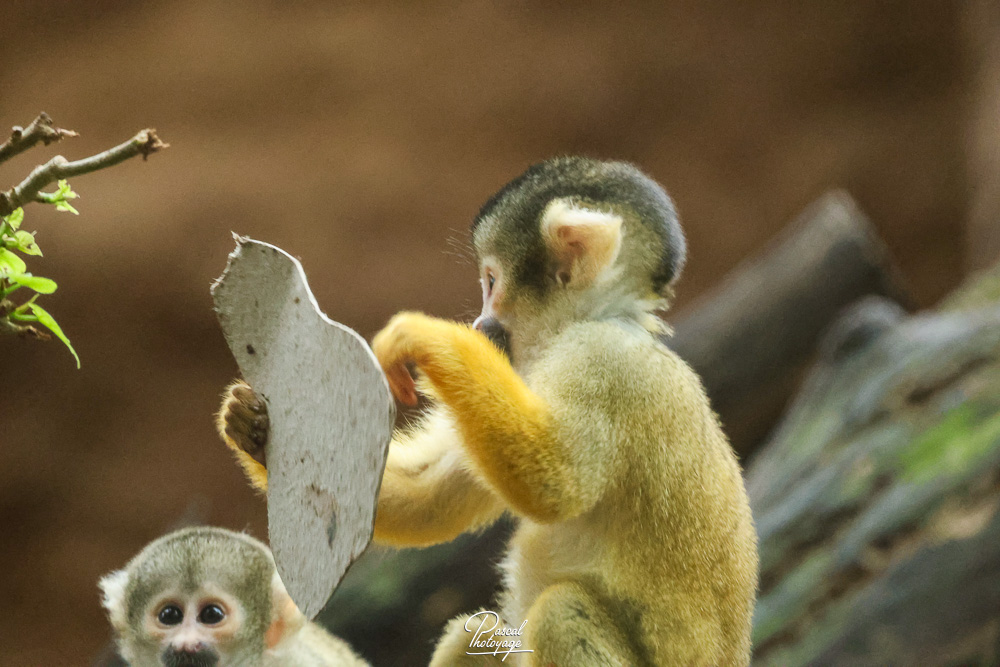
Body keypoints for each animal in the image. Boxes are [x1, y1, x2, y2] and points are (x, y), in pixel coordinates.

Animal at [219, 157, 758, 666]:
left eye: (491, 282)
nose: (480, 323)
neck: (603, 318)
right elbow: (433, 499)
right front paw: (253, 430)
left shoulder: (603, 359)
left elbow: (553, 485)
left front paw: (432, 339)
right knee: (476, 632)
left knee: (561, 612)